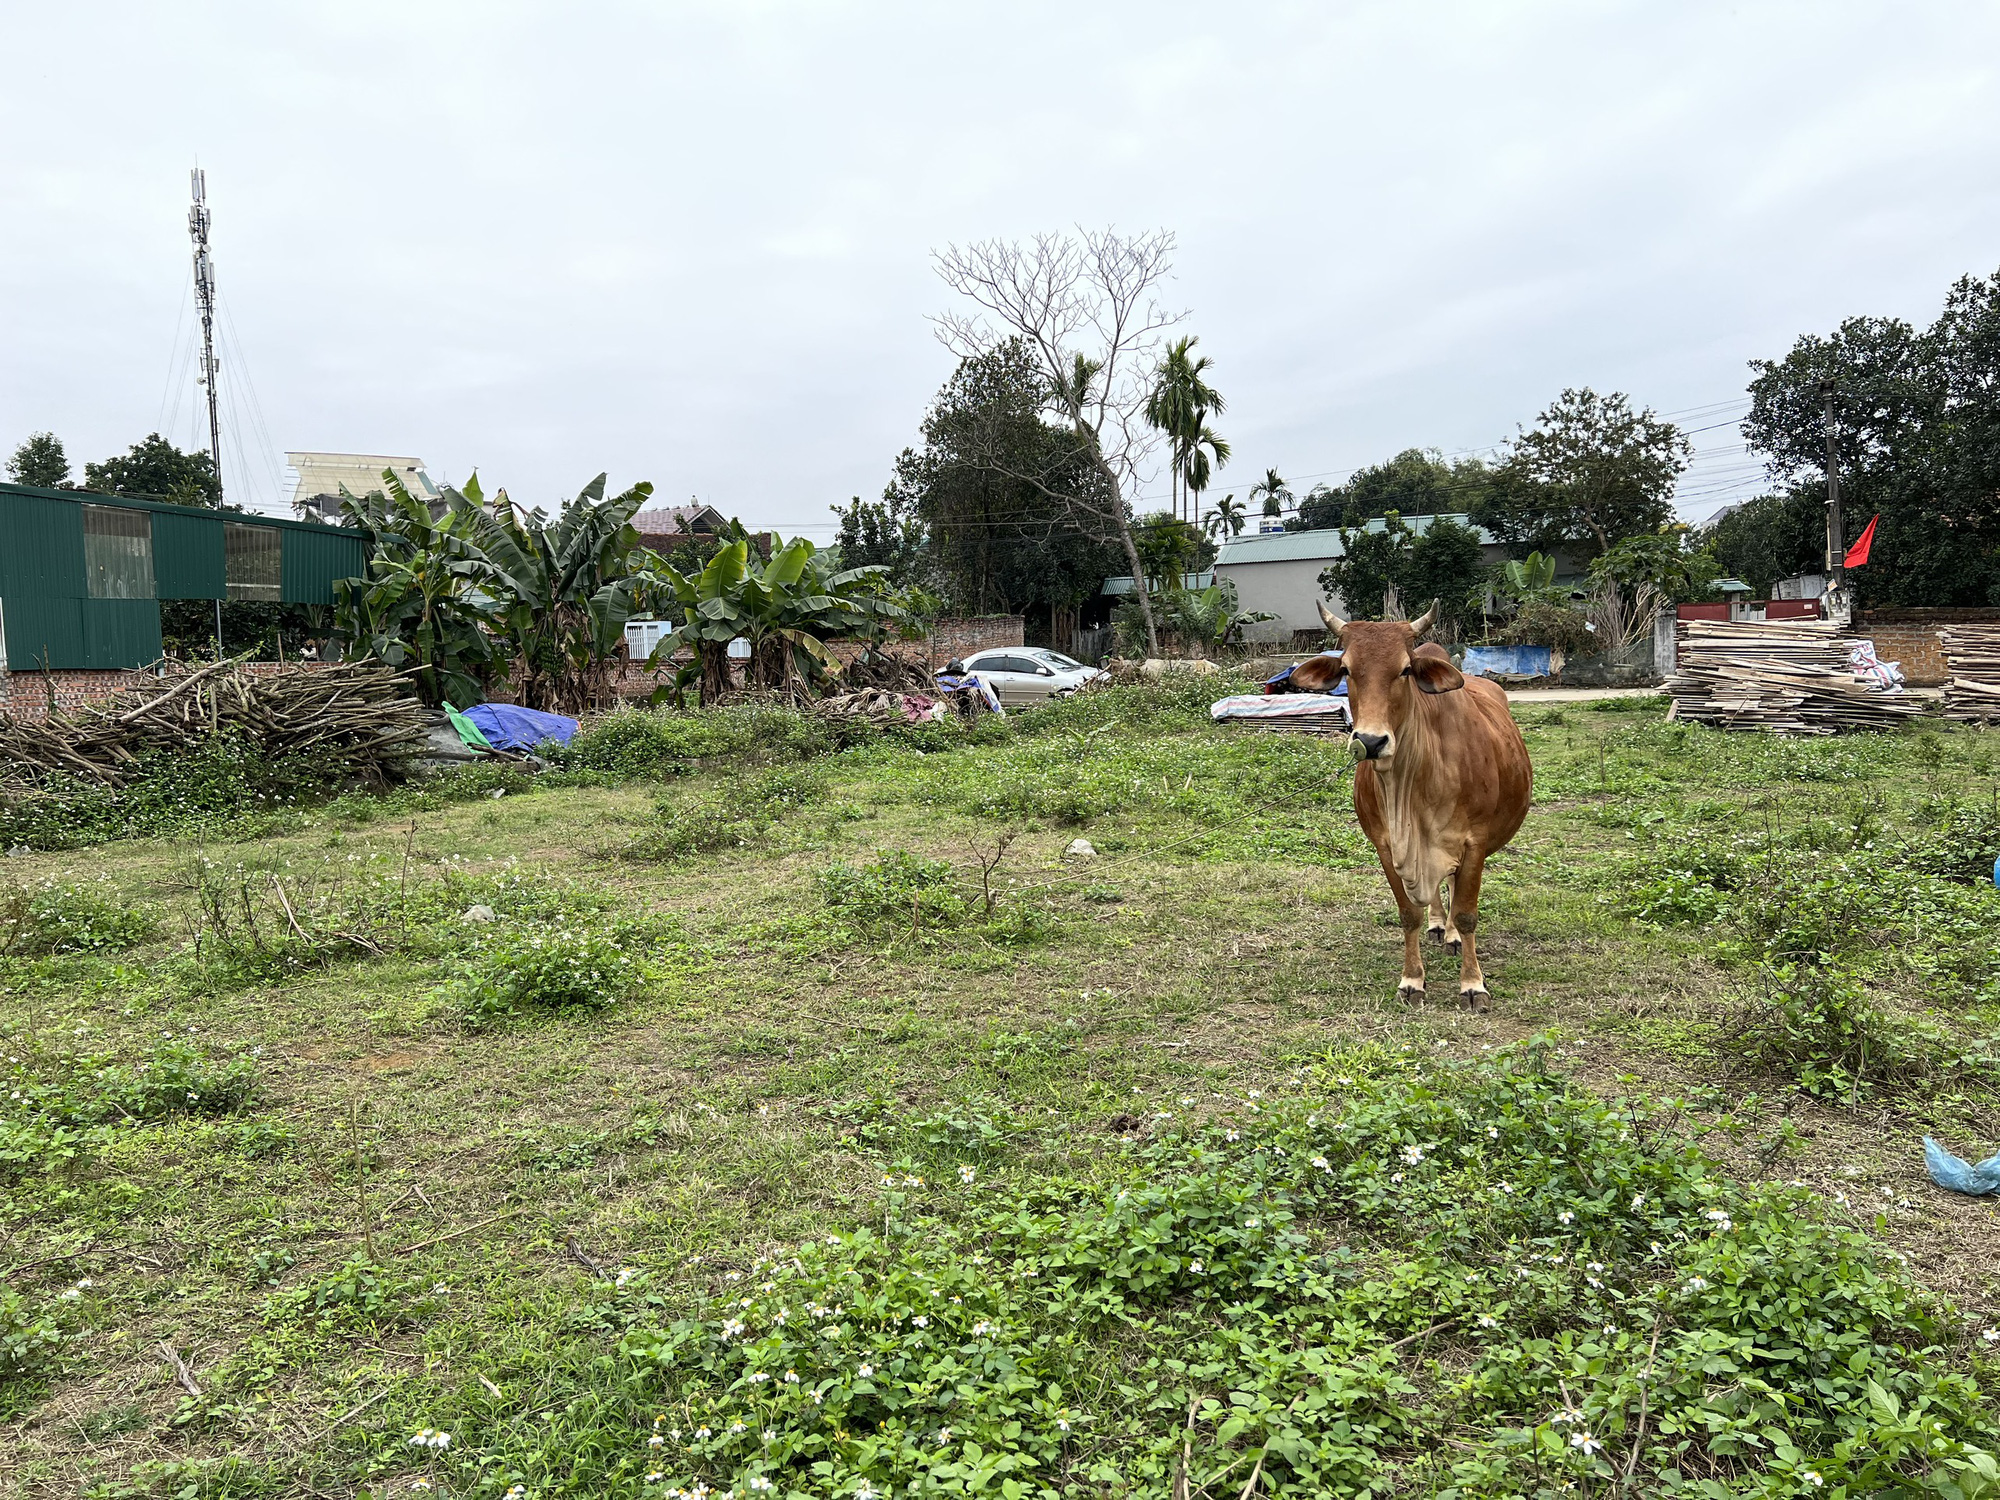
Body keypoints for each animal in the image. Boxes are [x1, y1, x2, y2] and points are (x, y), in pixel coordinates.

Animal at [1296, 604, 1528, 1012]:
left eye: (1405, 669)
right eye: (1346, 670)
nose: (1371, 741)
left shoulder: (1475, 844)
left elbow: (1466, 914)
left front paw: (1472, 984)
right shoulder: (1387, 846)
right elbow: (1408, 914)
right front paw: (1412, 980)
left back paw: (1451, 935)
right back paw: (1438, 925)